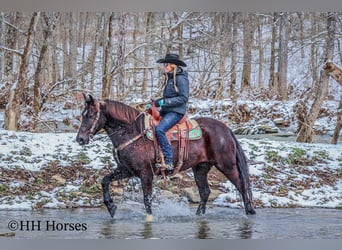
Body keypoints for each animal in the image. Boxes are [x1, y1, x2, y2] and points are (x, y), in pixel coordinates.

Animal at [76, 94, 255, 221]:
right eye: (83, 115)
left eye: (91, 115)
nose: (80, 139)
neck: (132, 132)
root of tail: (226, 129)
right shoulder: (126, 170)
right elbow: (105, 181)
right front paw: (111, 207)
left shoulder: (145, 173)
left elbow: (147, 198)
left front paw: (149, 219)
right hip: (201, 168)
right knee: (205, 192)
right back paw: (198, 215)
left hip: (227, 165)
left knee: (242, 186)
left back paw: (250, 212)